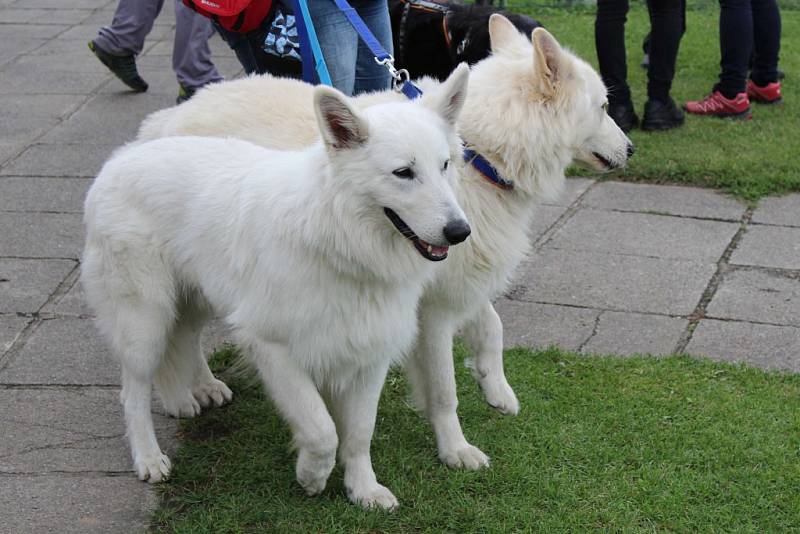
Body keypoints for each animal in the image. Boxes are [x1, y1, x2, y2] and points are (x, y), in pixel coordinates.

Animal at [141, 23, 636, 472]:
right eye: (604, 106)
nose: (632, 149)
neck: (480, 154)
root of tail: (161, 121)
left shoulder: (456, 280)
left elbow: (492, 326)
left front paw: (495, 387)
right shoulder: (430, 312)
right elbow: (444, 390)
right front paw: (455, 449)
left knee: (186, 332)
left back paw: (202, 386)